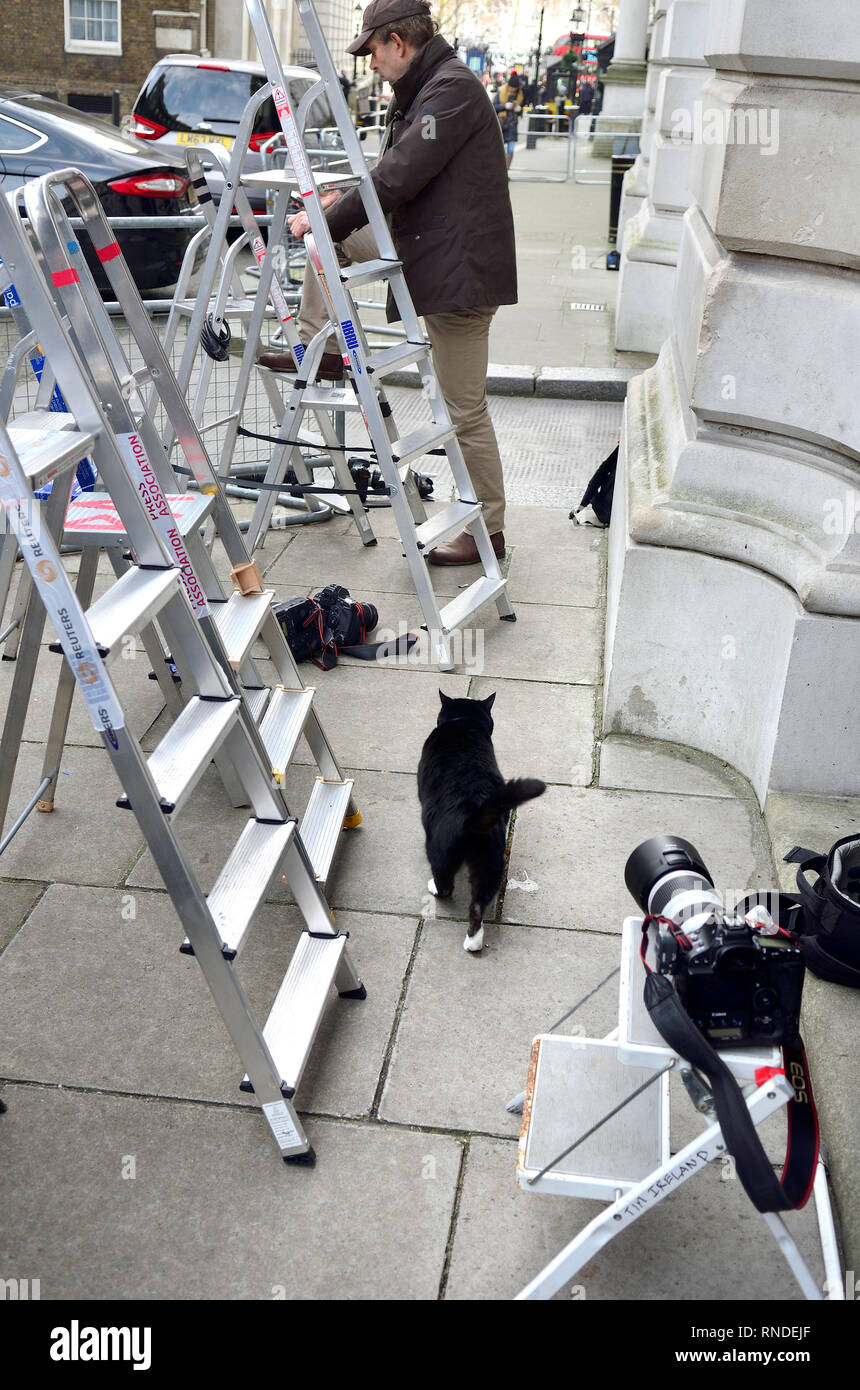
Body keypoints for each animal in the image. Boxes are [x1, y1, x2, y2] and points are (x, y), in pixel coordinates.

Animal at [416, 689, 544, 950]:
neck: (464, 722)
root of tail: (474, 814)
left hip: (439, 849)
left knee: (446, 884)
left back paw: (434, 888)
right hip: (491, 861)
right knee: (478, 905)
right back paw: (473, 943)